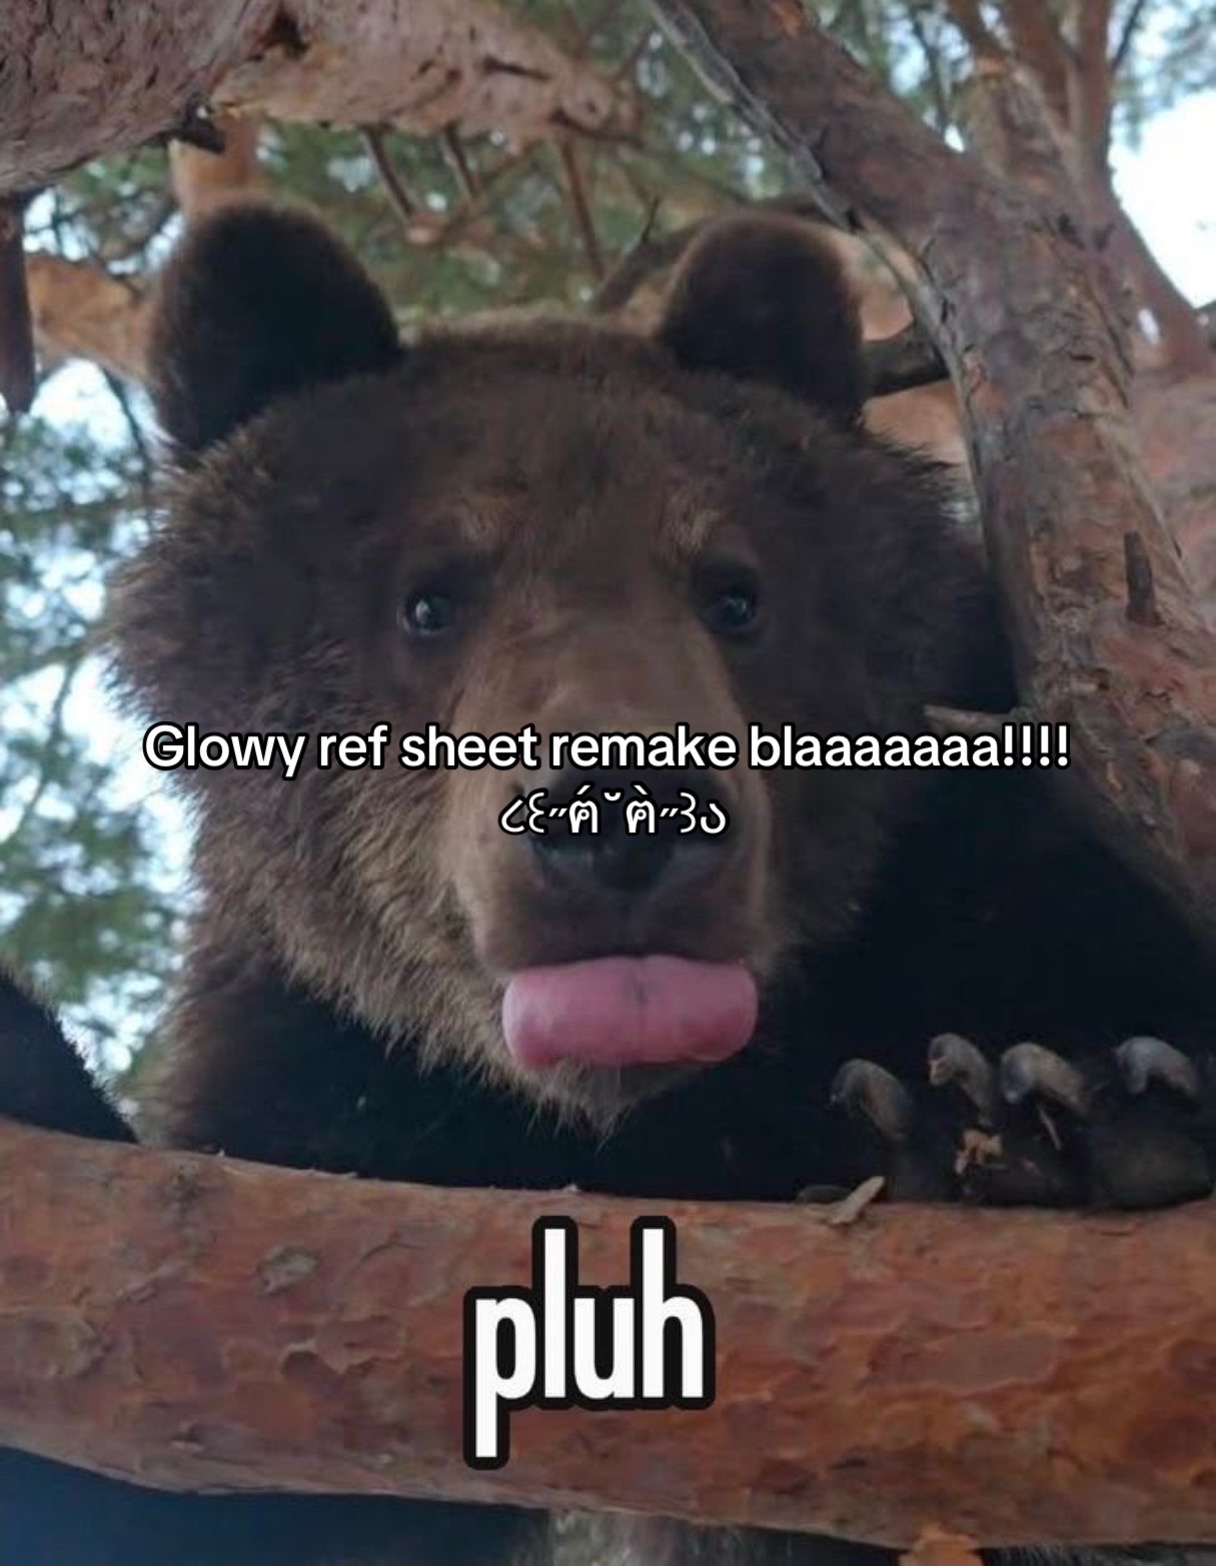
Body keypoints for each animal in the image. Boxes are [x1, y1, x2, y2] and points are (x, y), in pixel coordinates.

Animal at [1, 200, 1214, 1566]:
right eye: (429, 596)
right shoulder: (333, 1083)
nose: (622, 814)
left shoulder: (1001, 883)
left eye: (736, 592)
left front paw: (1050, 1103)